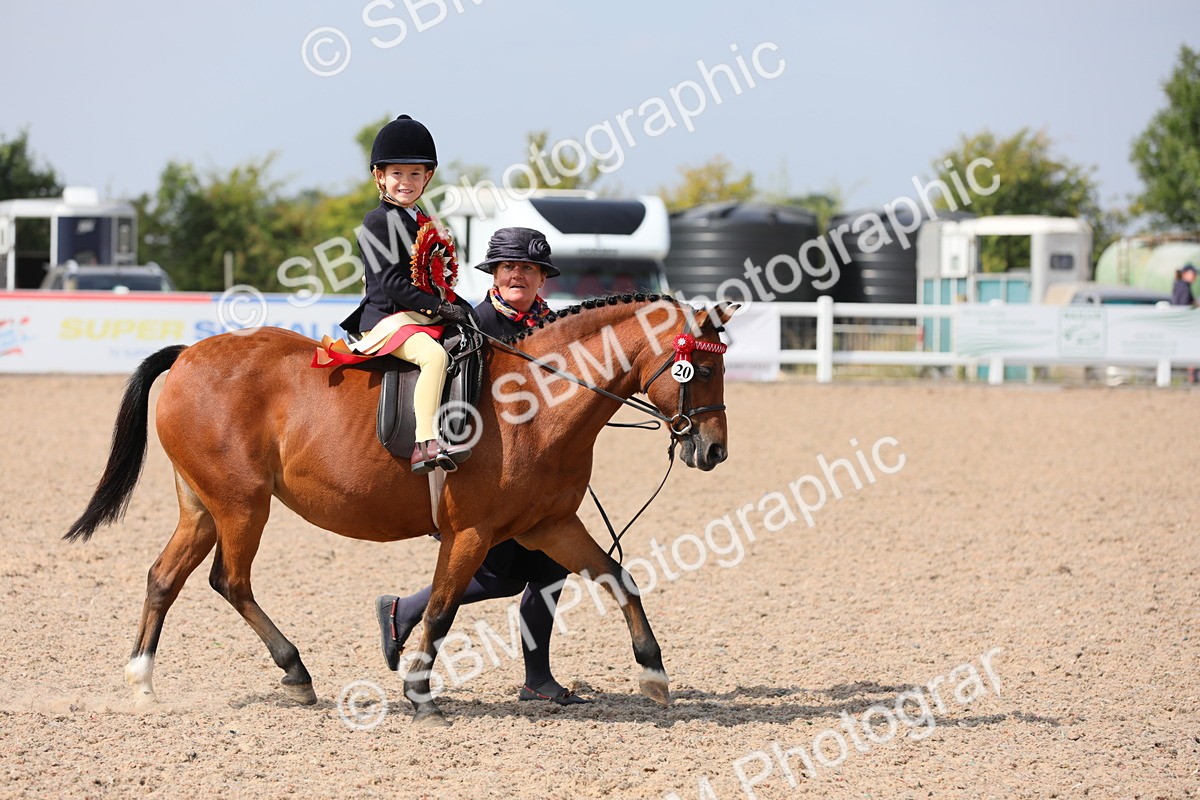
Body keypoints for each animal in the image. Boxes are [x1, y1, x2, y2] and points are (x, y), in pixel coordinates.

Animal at [65, 294, 736, 724]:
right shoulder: (471, 532)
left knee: (164, 578)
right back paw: (295, 672)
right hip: (241, 504)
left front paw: (654, 676)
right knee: (229, 581)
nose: (714, 450)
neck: (537, 401)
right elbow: (441, 609)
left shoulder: (551, 525)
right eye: (700, 368)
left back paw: (142, 683)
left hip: (203, 507)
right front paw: (419, 694)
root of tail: (186, 356)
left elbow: (619, 580)